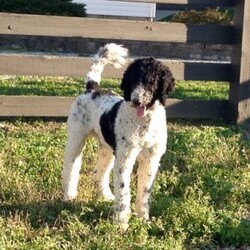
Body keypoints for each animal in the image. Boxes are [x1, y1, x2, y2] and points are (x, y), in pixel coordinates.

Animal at [62, 43, 175, 229]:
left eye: (151, 80)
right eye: (132, 80)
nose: (136, 101)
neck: (143, 125)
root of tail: (92, 89)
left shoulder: (151, 159)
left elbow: (145, 192)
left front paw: (143, 218)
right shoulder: (125, 159)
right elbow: (123, 191)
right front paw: (121, 223)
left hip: (107, 149)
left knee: (99, 172)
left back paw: (105, 195)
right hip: (76, 139)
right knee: (71, 167)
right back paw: (69, 196)